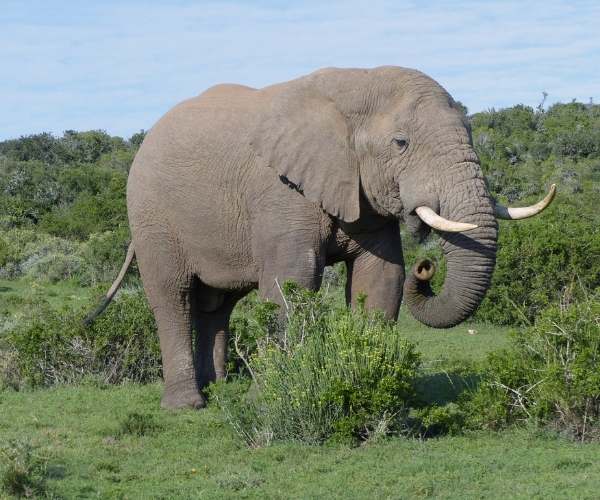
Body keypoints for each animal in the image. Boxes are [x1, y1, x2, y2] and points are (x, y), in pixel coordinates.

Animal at [91, 67, 556, 410]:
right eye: (401, 143)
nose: (427, 269)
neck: (355, 87)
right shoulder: (281, 192)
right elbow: (292, 280)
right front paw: (270, 399)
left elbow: (381, 277)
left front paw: (372, 385)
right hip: (152, 215)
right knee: (173, 296)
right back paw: (187, 405)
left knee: (216, 305)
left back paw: (219, 390)